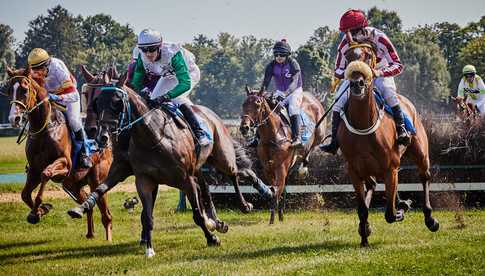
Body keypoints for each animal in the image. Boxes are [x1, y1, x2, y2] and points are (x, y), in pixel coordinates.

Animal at [4, 66, 112, 240]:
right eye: (9, 90)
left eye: (24, 90)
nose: (14, 118)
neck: (45, 128)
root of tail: (106, 144)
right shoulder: (33, 170)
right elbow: (25, 194)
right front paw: (40, 211)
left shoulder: (64, 164)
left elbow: (46, 174)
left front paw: (38, 210)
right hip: (72, 184)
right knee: (87, 204)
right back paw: (89, 232)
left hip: (97, 180)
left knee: (106, 215)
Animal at [239, 87, 326, 224]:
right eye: (244, 104)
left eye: (257, 104)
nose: (244, 127)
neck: (272, 136)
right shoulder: (268, 169)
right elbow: (276, 189)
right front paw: (278, 215)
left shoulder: (281, 168)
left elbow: (277, 190)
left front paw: (273, 219)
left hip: (319, 134)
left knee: (312, 147)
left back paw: (303, 167)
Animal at [336, 43, 438, 246]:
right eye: (348, 56)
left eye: (368, 56)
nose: (357, 83)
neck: (364, 125)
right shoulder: (354, 171)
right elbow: (362, 209)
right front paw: (364, 239)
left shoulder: (390, 168)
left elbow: (390, 213)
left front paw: (402, 208)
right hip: (371, 169)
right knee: (373, 185)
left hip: (420, 153)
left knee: (424, 177)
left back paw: (429, 218)